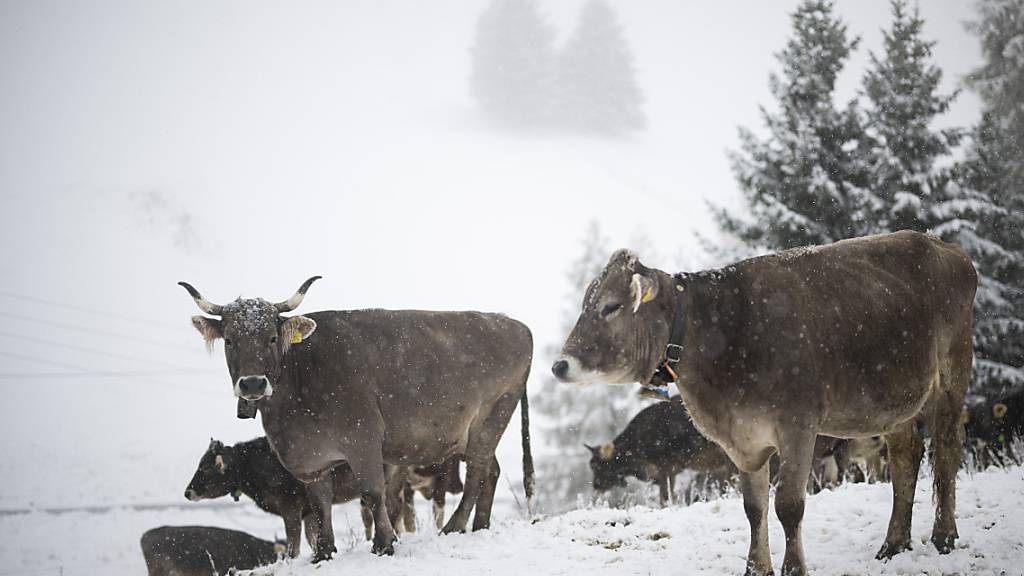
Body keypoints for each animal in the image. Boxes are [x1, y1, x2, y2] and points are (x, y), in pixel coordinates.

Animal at [184, 437, 371, 557]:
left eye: (206, 468)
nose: (187, 492)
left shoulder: (290, 508)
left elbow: (293, 546)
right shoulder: (309, 511)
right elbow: (311, 538)